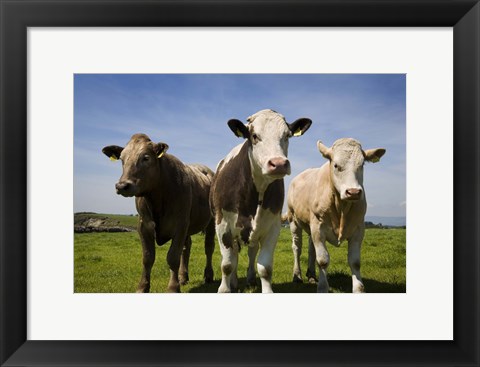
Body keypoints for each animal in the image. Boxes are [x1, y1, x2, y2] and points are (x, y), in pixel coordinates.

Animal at [102, 134, 215, 294]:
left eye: (146, 158)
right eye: (122, 159)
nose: (122, 185)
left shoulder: (180, 224)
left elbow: (172, 257)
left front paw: (173, 288)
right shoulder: (143, 225)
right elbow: (148, 258)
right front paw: (142, 287)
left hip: (211, 222)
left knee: (209, 248)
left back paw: (208, 275)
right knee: (186, 248)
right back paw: (183, 277)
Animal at [210, 109, 312, 294]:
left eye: (287, 135)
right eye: (254, 136)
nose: (278, 164)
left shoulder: (272, 226)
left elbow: (264, 267)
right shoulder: (222, 225)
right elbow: (227, 264)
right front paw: (224, 289)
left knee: (251, 252)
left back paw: (250, 280)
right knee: (234, 255)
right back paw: (233, 282)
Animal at [284, 138, 386, 294]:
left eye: (362, 164)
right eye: (336, 165)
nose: (353, 192)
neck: (341, 208)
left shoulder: (358, 228)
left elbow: (355, 262)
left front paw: (358, 288)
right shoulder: (318, 227)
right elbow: (323, 260)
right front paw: (322, 288)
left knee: (311, 249)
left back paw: (312, 275)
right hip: (293, 220)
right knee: (297, 247)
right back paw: (297, 276)